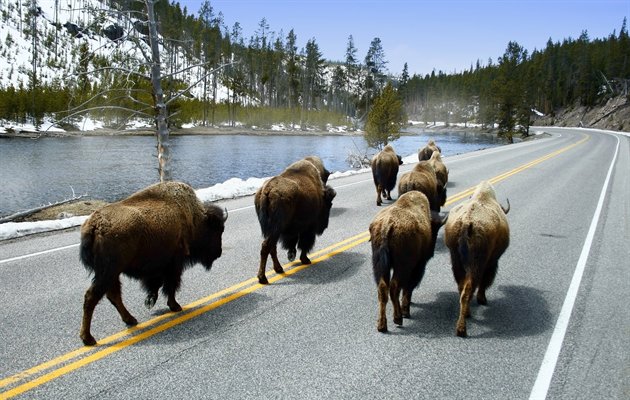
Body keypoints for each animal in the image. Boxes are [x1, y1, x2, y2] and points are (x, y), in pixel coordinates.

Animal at [78, 180, 227, 346]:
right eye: (217, 230)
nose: (219, 252)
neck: (193, 218)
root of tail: (94, 226)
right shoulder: (174, 264)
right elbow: (170, 285)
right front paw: (175, 306)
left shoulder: (159, 267)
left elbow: (157, 284)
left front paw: (150, 301)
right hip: (108, 273)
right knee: (92, 297)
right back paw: (88, 338)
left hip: (112, 274)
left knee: (113, 295)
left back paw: (130, 320)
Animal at [256, 155, 338, 284]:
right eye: (329, 204)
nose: (324, 226)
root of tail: (267, 190)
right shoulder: (308, 228)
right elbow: (304, 244)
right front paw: (305, 259)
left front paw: (292, 256)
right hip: (276, 229)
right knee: (266, 247)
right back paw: (263, 278)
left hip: (273, 231)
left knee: (272, 247)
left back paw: (278, 269)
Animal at [370, 191, 450, 332]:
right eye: (434, 231)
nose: (431, 252)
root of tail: (387, 225)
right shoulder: (418, 266)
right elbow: (409, 287)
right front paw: (406, 310)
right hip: (403, 267)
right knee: (395, 287)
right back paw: (399, 318)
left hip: (380, 266)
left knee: (382, 289)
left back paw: (382, 325)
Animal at [446, 180, 512, 336]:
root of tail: (466, 223)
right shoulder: (491, 263)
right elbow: (485, 281)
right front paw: (482, 299)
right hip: (476, 265)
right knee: (469, 289)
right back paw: (462, 329)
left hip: (456, 262)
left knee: (461, 287)